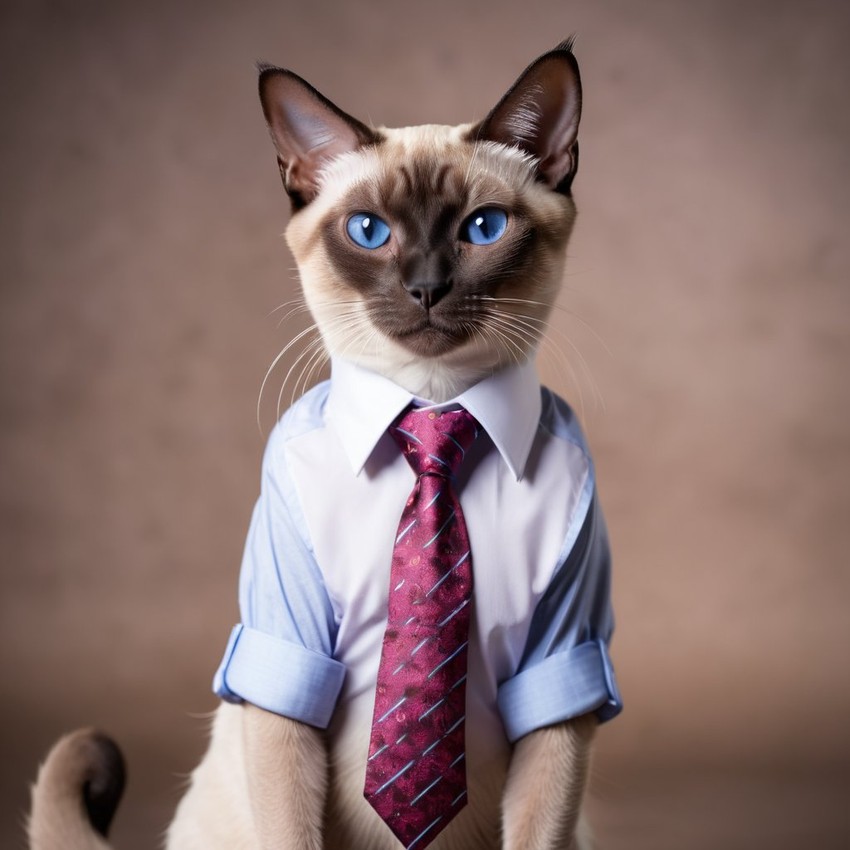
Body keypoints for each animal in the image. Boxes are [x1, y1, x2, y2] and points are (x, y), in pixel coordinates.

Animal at [29, 41, 620, 848]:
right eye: (369, 232)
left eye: (484, 228)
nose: (426, 287)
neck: (433, 407)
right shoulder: (293, 654)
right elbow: (292, 821)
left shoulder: (560, 665)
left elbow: (536, 824)